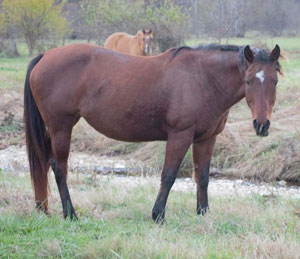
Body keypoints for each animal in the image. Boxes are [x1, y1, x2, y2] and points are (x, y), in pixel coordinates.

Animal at [23, 42, 282, 221]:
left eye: (275, 81)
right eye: (248, 81)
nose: (262, 124)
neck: (202, 79)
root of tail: (45, 55)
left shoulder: (207, 139)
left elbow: (203, 177)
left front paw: (203, 213)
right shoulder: (180, 136)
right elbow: (169, 175)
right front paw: (158, 215)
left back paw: (45, 208)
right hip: (61, 128)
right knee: (60, 168)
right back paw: (70, 214)